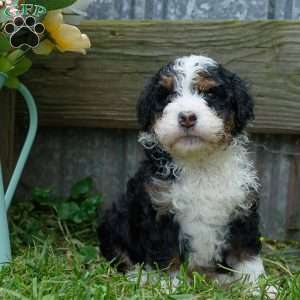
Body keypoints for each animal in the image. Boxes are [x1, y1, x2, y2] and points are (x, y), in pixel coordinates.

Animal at [98, 54, 274, 292]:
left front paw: (258, 287)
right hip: (113, 224)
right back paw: (140, 278)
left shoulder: (242, 210)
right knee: (122, 257)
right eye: (168, 96)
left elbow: (247, 255)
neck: (199, 163)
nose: (187, 117)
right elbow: (166, 255)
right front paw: (170, 286)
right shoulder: (160, 210)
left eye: (209, 94)